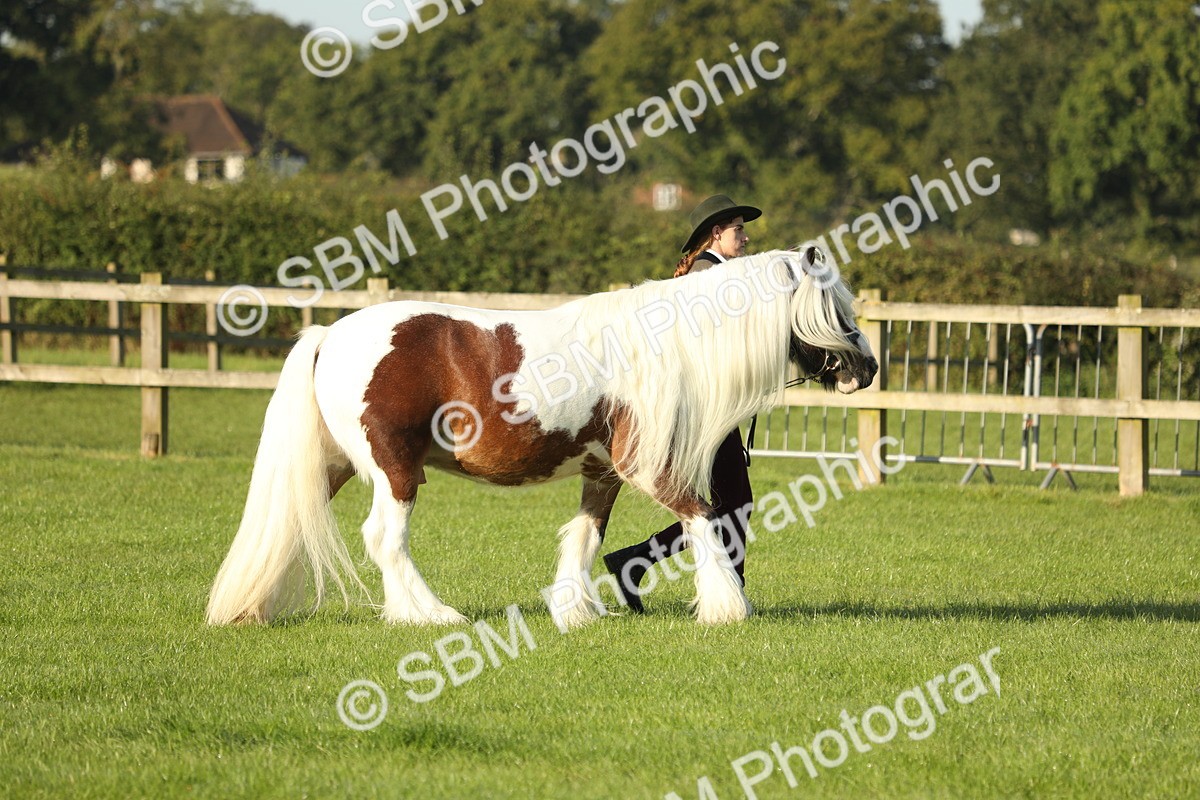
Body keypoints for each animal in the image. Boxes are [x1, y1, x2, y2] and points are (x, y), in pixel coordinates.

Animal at [205, 245, 878, 629]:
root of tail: (331, 334)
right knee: (384, 539)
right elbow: (705, 519)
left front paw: (574, 611)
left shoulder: (602, 472)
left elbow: (585, 537)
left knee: (294, 523)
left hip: (334, 465)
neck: (669, 344)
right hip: (394, 470)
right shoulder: (648, 469)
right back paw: (430, 616)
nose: (868, 369)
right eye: (836, 304)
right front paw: (726, 610)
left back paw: (252, 607)